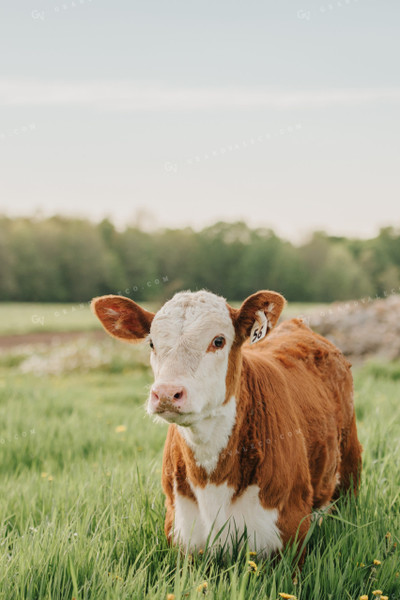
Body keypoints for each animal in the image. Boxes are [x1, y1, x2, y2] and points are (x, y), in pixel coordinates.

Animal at [93, 290, 362, 556]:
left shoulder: (290, 536)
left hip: (349, 465)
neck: (212, 477)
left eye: (218, 341)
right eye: (152, 343)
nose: (167, 393)